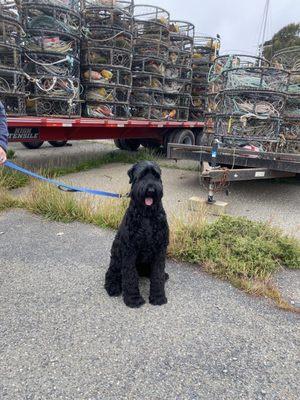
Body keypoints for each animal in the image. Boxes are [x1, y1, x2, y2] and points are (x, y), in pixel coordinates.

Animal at [104, 161, 169, 308]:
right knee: (111, 273)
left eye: (156, 175)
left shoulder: (160, 250)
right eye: (142, 175)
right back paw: (112, 286)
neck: (146, 216)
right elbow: (130, 276)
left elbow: (157, 274)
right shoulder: (130, 251)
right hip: (116, 257)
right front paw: (133, 299)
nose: (151, 190)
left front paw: (158, 297)